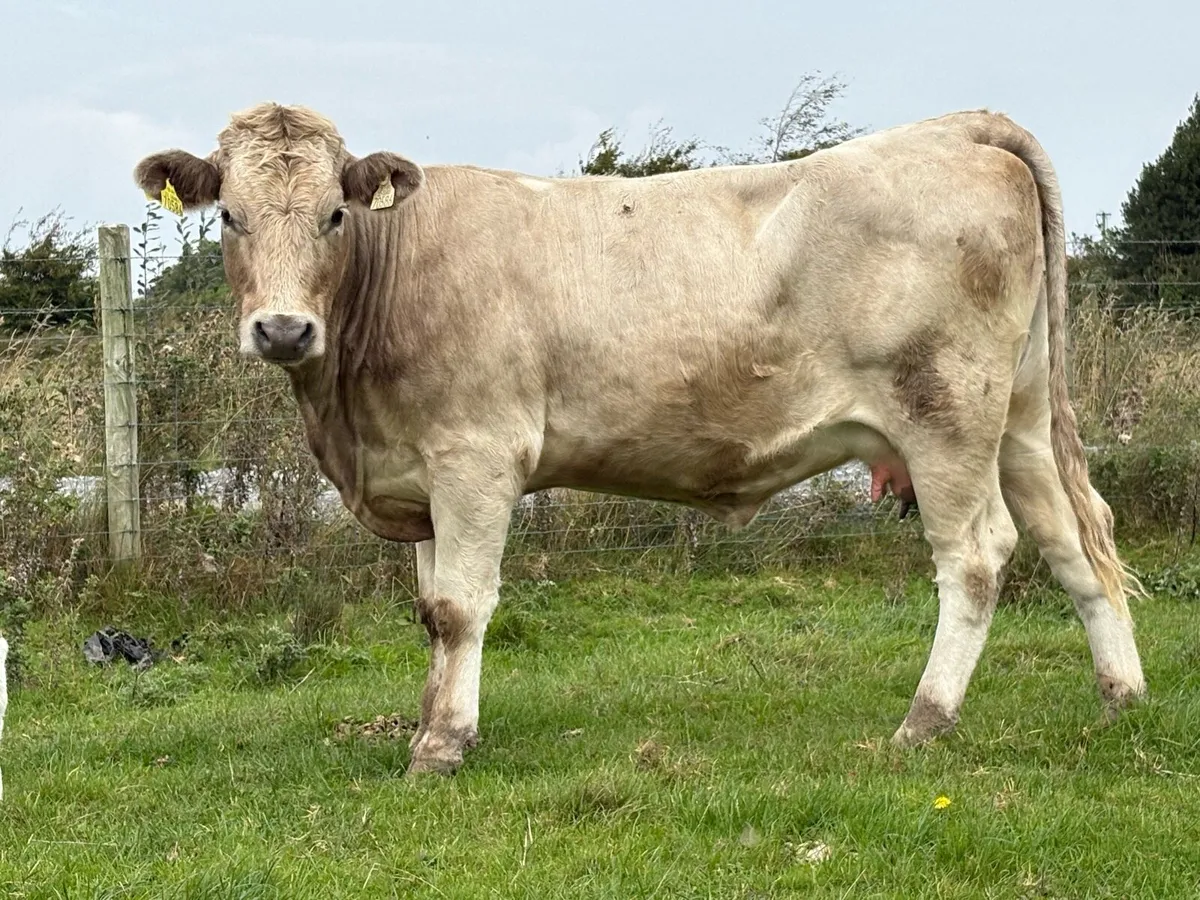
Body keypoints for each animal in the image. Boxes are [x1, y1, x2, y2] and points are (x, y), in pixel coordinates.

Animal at [134, 102, 1147, 774]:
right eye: (230, 216)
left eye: (334, 215)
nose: (282, 330)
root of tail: (956, 127)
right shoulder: (418, 474)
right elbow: (429, 612)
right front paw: (428, 721)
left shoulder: (475, 457)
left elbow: (461, 608)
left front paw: (442, 746)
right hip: (1018, 417)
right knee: (1074, 541)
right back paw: (1122, 700)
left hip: (944, 413)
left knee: (976, 557)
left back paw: (924, 722)